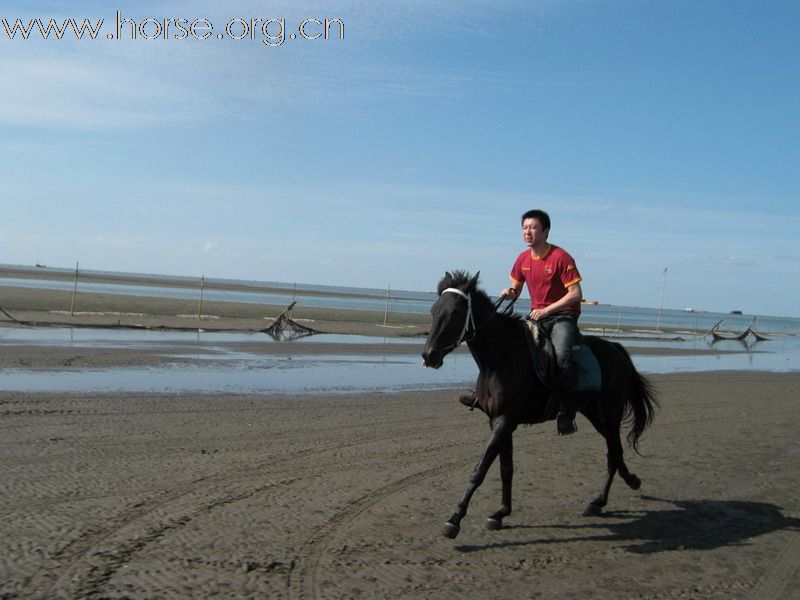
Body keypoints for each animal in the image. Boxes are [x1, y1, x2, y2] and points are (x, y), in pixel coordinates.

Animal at [418, 272, 656, 540]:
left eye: (456, 312)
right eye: (434, 310)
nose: (429, 355)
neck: (502, 357)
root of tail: (616, 350)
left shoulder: (505, 421)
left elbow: (480, 470)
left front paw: (454, 519)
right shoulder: (498, 421)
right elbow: (506, 468)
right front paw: (500, 513)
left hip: (610, 413)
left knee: (613, 453)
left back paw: (599, 500)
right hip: (595, 413)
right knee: (615, 452)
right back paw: (628, 482)